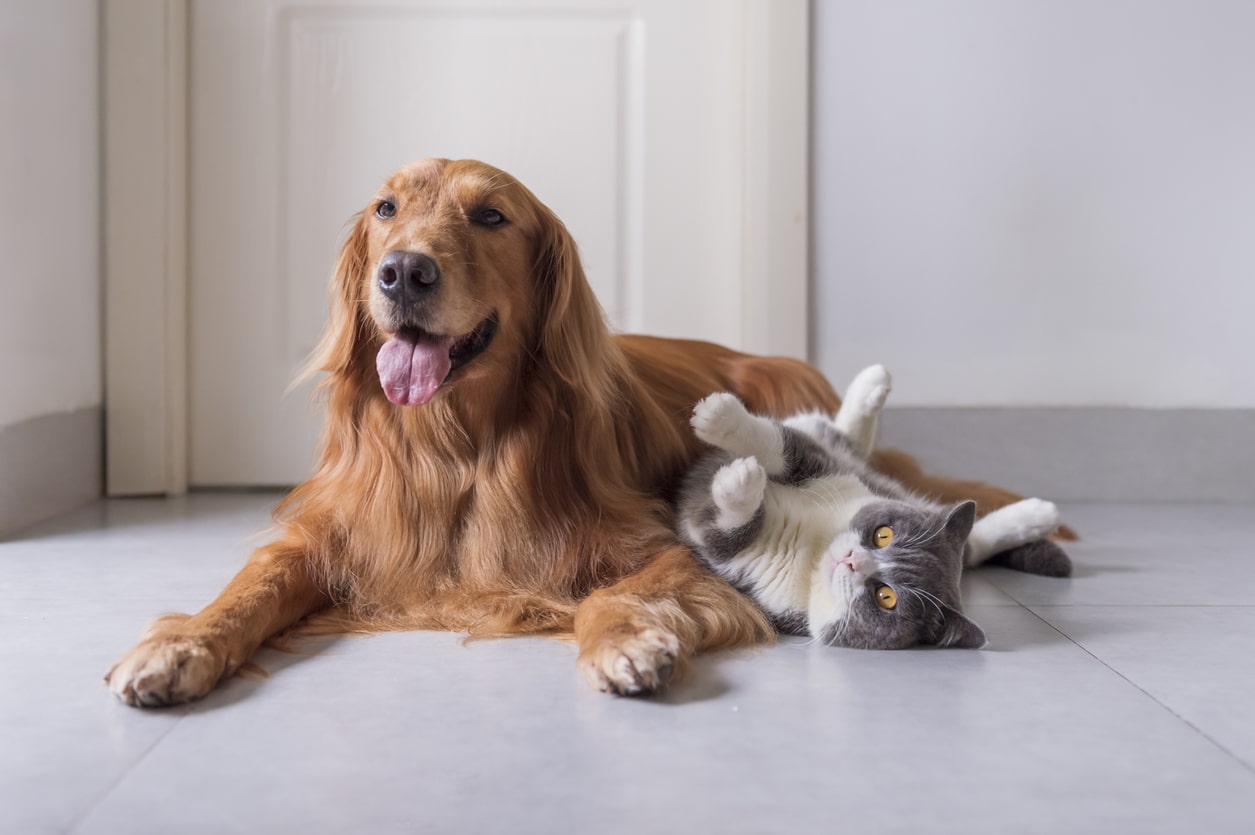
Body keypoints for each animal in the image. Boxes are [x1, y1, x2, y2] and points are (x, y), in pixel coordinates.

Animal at [107, 158, 1029, 703]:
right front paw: (181, 641)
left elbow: (614, 590)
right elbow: (251, 584)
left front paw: (624, 640)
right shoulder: (328, 537)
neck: (459, 448)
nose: (402, 271)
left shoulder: (663, 545)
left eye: (490, 217)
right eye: (385, 207)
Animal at [672, 364, 1074, 652]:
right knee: (842, 437)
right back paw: (873, 383)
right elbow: (781, 445)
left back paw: (1040, 515)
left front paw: (739, 481)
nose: (853, 560)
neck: (813, 548)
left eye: (886, 597)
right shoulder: (823, 467)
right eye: (884, 535)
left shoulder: (748, 575)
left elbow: (725, 534)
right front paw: (720, 418)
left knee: (973, 547)